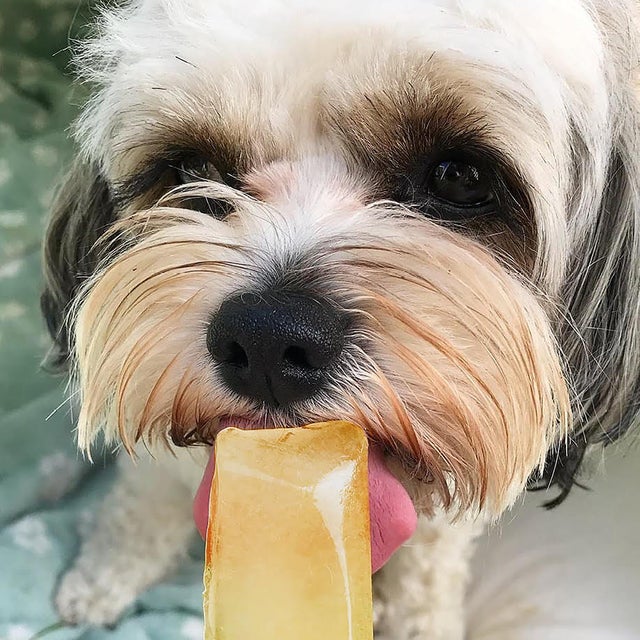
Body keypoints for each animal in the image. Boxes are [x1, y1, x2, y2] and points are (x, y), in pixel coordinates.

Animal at [40, 2, 640, 636]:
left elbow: (427, 570)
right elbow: (145, 501)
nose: (267, 338)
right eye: (192, 167)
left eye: (460, 177)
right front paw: (104, 575)